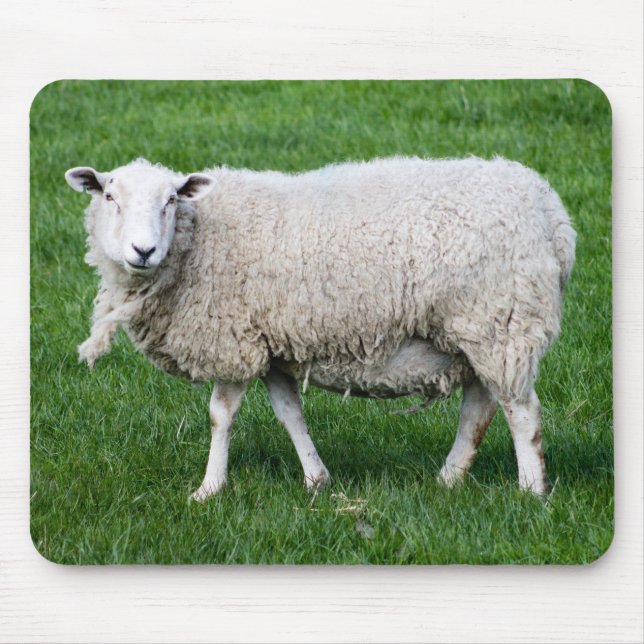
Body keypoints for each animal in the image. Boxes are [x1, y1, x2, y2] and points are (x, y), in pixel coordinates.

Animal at [64, 156, 576, 501]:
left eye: (170, 200)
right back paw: (449, 478)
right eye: (109, 196)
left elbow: (219, 416)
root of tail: (551, 212)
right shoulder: (271, 346)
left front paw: (208, 490)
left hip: (501, 324)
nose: (143, 250)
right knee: (479, 410)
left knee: (522, 414)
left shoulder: (233, 340)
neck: (198, 239)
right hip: (483, 335)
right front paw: (316, 479)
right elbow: (290, 414)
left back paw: (531, 491)